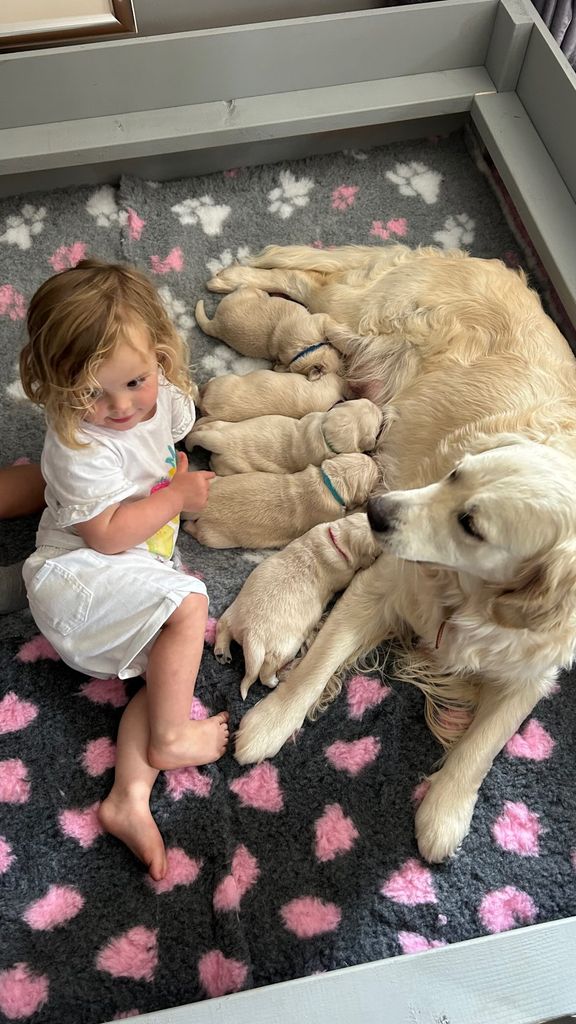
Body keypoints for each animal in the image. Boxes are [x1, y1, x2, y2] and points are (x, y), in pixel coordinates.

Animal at [180, 454, 377, 552]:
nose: (374, 459)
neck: (329, 482)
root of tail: (201, 507)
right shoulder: (332, 515)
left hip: (213, 481)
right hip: (215, 537)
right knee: (196, 531)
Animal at [186, 401, 383, 477]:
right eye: (377, 423)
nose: (378, 406)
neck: (326, 435)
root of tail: (220, 441)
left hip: (218, 426)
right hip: (231, 467)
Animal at [195, 284, 340, 380]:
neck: (306, 350)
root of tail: (215, 323)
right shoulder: (317, 320)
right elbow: (326, 321)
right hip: (250, 293)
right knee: (254, 290)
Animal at [213, 512, 379, 696]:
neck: (336, 540)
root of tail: (251, 634)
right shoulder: (344, 575)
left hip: (231, 613)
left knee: (222, 628)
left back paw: (222, 653)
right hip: (285, 649)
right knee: (266, 670)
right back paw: (273, 681)